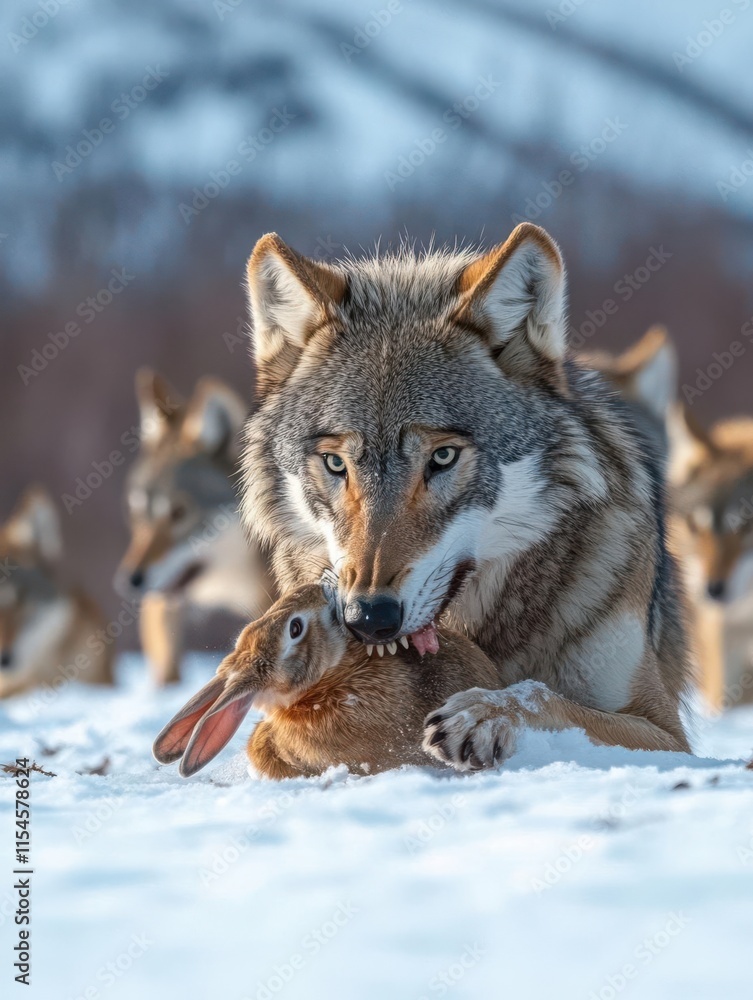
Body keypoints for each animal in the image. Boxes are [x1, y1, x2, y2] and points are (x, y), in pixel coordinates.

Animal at [240, 223, 691, 769]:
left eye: (442, 457)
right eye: (335, 464)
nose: (369, 619)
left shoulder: (666, 733)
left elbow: (543, 694)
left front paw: (483, 713)